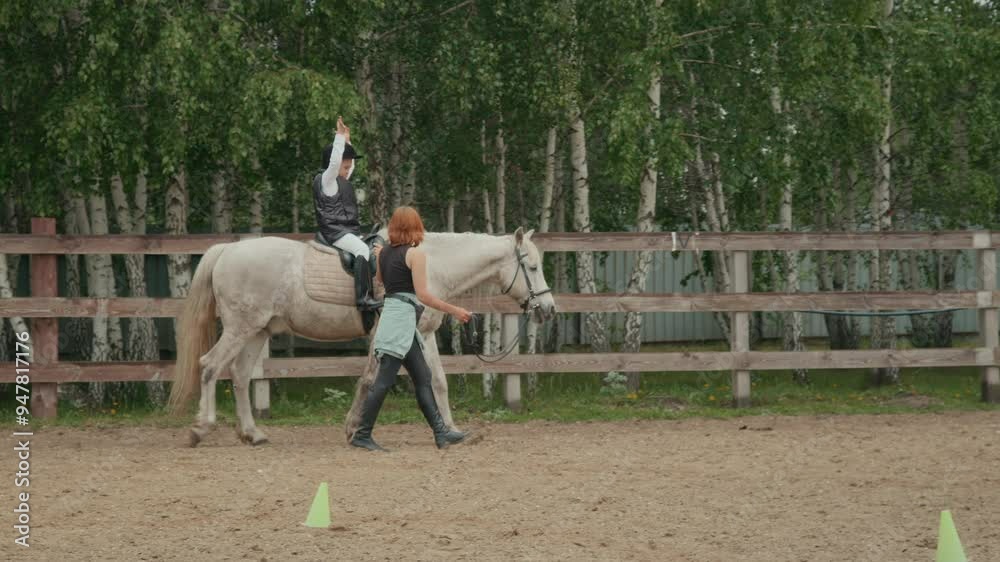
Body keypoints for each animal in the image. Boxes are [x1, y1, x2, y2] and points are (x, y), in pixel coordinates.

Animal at [168, 227, 557, 447]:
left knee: (240, 376)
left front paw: (452, 427)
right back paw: (201, 428)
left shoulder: (423, 334)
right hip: (239, 329)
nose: (548, 309)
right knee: (209, 367)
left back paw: (252, 433)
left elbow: (437, 381)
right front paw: (354, 427)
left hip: (257, 331)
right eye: (533, 267)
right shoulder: (393, 335)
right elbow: (373, 379)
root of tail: (228, 250)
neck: (428, 265)